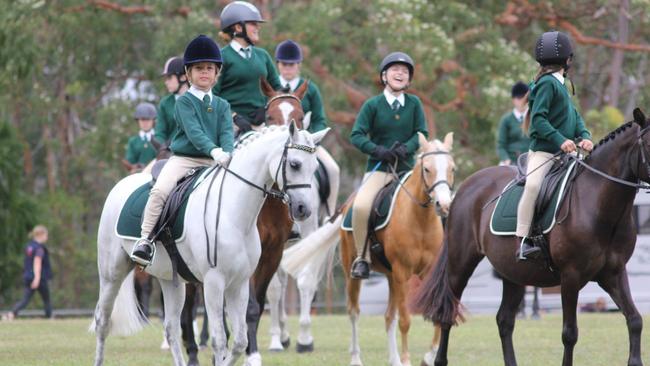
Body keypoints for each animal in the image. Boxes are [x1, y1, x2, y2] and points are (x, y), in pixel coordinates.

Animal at [92, 123, 326, 366]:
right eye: (295, 164)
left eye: (315, 167)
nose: (303, 209)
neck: (234, 213)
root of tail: (122, 184)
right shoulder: (214, 282)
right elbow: (219, 340)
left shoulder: (239, 283)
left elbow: (239, 341)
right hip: (112, 274)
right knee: (102, 321)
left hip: (170, 280)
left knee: (171, 328)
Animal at [280, 134, 454, 366]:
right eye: (427, 169)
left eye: (452, 168)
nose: (443, 205)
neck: (420, 221)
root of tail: (348, 206)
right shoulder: (403, 273)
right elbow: (405, 320)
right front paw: (407, 360)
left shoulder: (425, 273)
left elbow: (433, 314)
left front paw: (428, 357)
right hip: (354, 273)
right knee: (354, 312)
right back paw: (356, 358)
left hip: (391, 277)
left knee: (388, 316)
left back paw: (394, 360)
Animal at [416, 111, 648, 366]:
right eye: (649, 144)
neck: (598, 205)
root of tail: (463, 189)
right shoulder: (571, 276)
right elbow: (570, 334)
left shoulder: (613, 273)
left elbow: (635, 320)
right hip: (460, 266)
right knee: (447, 313)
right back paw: (438, 360)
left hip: (513, 273)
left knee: (504, 320)